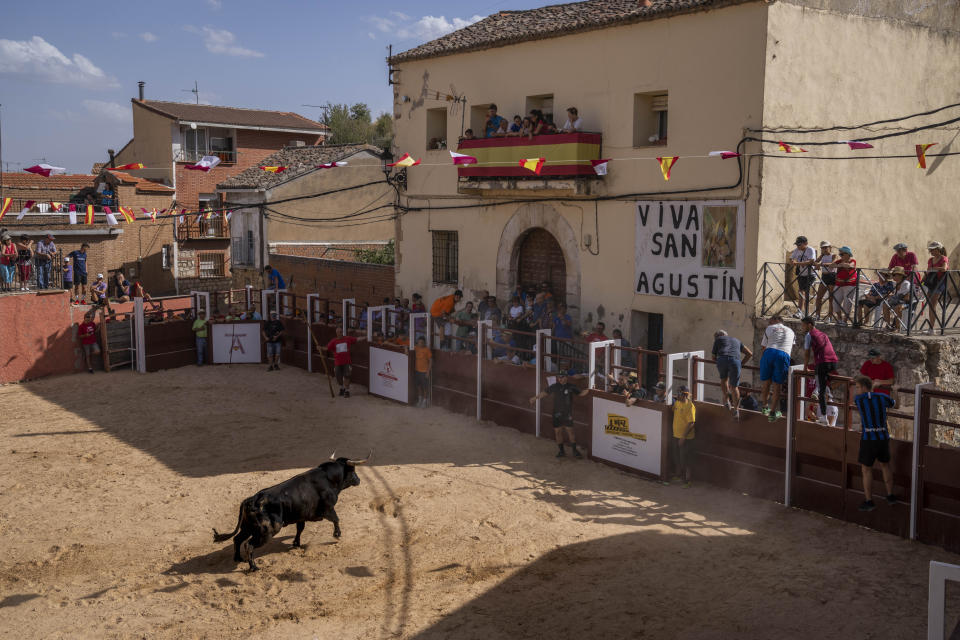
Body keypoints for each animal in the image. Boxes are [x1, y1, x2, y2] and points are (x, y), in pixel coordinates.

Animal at [214, 452, 368, 572]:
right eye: (353, 470)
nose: (359, 480)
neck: (328, 478)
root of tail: (251, 500)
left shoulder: (302, 515)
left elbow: (300, 528)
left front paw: (296, 543)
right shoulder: (328, 509)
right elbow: (336, 519)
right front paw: (337, 535)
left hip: (248, 527)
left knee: (237, 539)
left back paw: (238, 558)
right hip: (266, 531)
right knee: (249, 545)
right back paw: (254, 567)